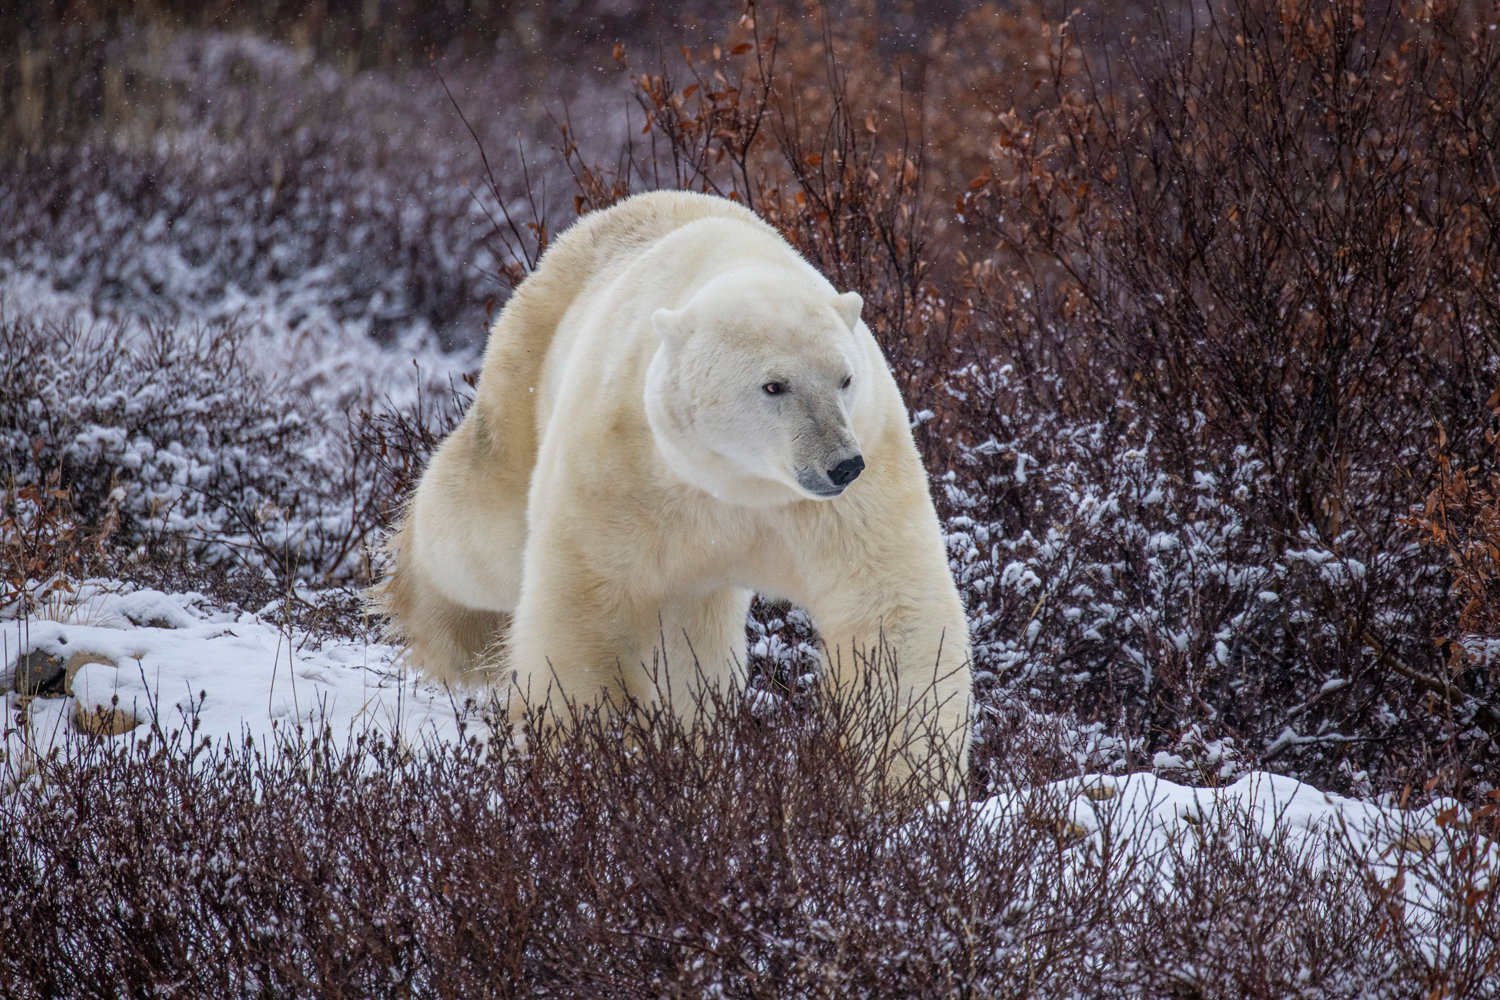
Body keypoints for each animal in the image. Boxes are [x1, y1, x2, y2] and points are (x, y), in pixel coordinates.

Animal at [378, 189, 972, 779]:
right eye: (774, 385)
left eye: (845, 378)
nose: (842, 465)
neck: (737, 482)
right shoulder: (622, 463)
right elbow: (585, 608)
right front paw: (592, 755)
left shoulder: (849, 490)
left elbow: (891, 611)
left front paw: (910, 782)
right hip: (526, 367)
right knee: (481, 536)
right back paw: (446, 635)